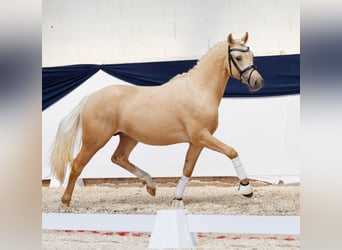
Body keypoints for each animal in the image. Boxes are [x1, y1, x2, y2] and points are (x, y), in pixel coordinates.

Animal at [50, 32, 264, 206]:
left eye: (252, 55)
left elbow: (188, 168)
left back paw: (151, 185)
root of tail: (88, 98)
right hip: (95, 140)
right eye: (238, 57)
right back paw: (65, 201)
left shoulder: (197, 142)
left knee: (118, 158)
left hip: (129, 137)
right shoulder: (201, 136)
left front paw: (177, 199)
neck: (198, 91)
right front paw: (247, 189)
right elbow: (231, 151)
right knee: (77, 164)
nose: (257, 82)